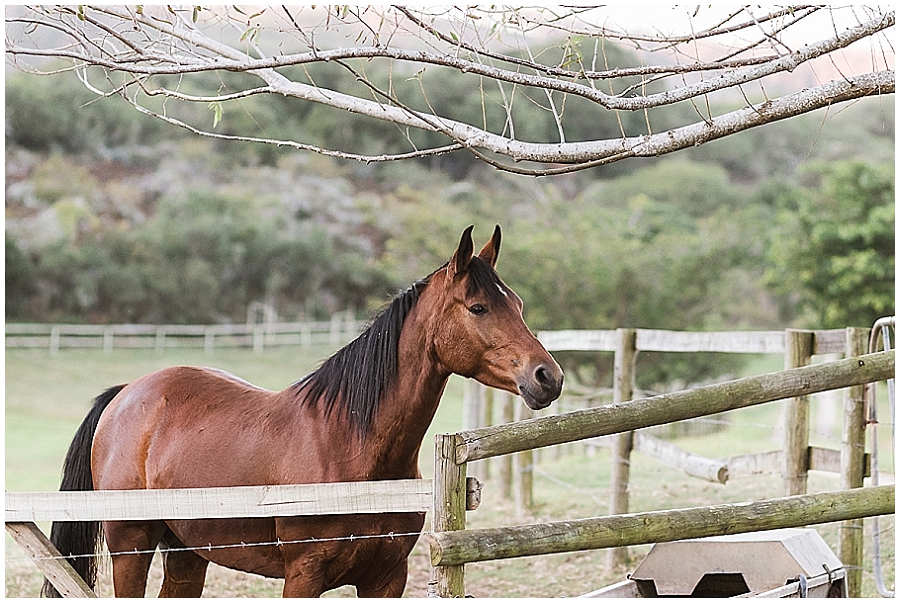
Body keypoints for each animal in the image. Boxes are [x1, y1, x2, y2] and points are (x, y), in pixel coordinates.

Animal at [43, 225, 564, 598]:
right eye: (477, 307)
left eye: (517, 303)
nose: (547, 377)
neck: (351, 448)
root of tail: (125, 395)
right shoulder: (304, 576)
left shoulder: (385, 579)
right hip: (131, 546)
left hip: (189, 553)